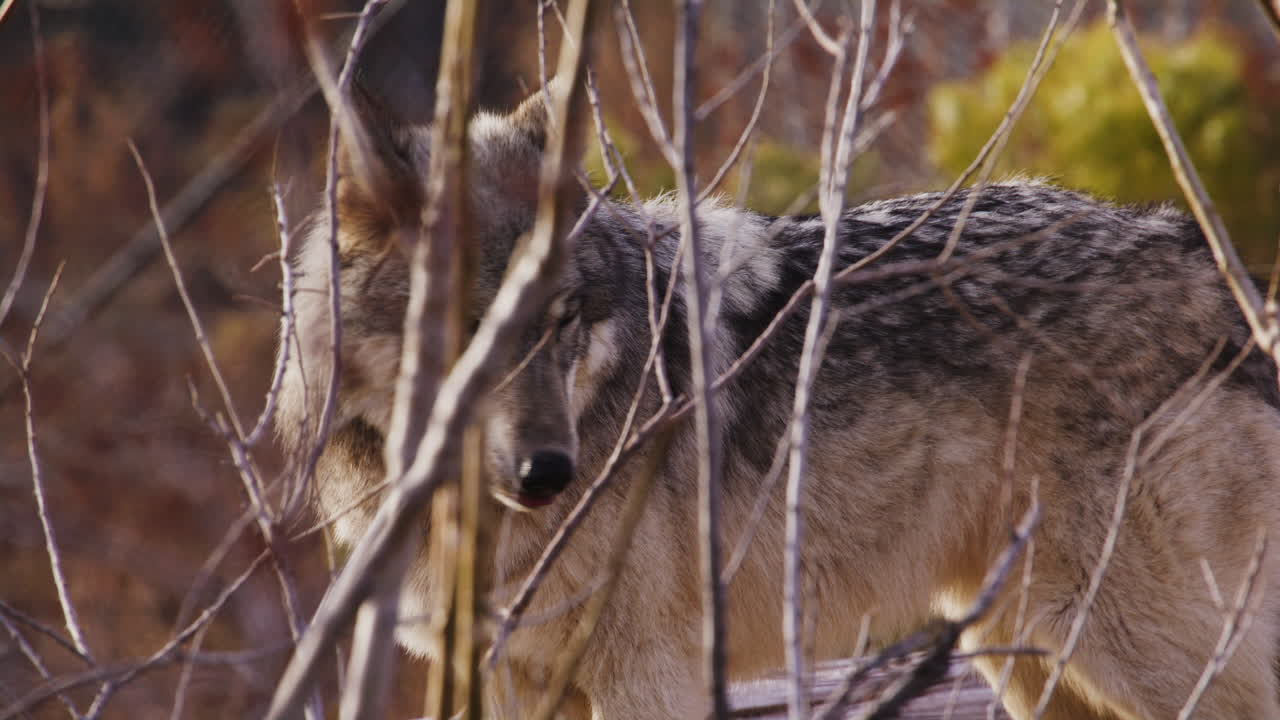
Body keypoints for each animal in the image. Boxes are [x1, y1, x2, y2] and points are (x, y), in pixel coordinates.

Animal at [276, 83, 1280, 720]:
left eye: (563, 318)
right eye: (475, 327)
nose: (550, 473)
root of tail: (1201, 253)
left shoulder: (650, 677)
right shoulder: (501, 681)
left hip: (1128, 647)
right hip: (1027, 659)